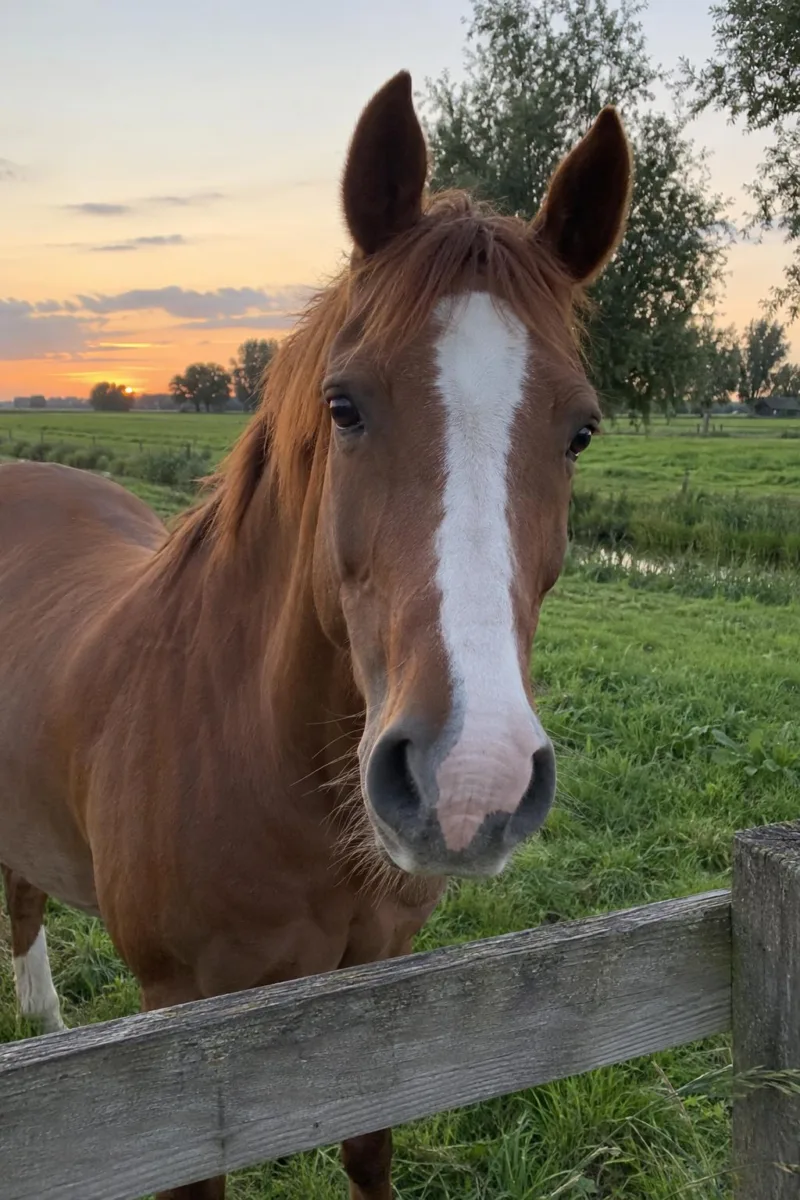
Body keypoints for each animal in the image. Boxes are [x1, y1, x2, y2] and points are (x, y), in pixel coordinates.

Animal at [0, 71, 631, 1199]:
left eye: (580, 431)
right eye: (344, 404)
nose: (468, 782)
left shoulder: (371, 987)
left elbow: (368, 1150)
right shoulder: (178, 1034)